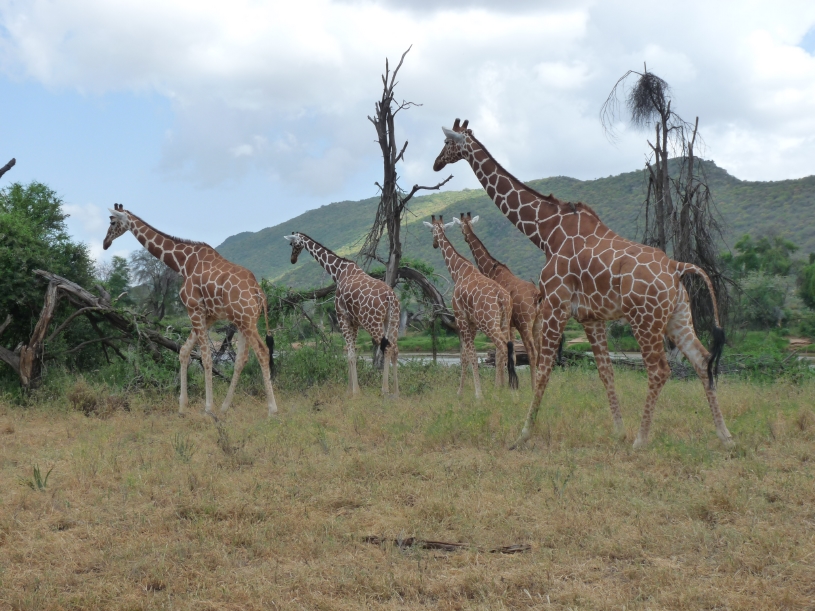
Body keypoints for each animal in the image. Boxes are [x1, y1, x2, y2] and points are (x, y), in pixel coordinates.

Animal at [103, 204, 277, 419]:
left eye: (112, 222)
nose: (105, 243)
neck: (183, 263)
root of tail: (258, 292)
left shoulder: (194, 308)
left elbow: (205, 357)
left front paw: (207, 408)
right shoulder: (208, 315)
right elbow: (185, 351)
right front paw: (182, 407)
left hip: (246, 319)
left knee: (262, 351)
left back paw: (272, 410)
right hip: (243, 320)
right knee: (241, 359)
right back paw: (225, 407)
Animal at [283, 232, 400, 397]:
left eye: (293, 244)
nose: (292, 259)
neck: (338, 272)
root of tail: (390, 297)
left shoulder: (342, 316)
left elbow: (350, 355)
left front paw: (355, 392)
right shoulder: (354, 321)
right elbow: (352, 353)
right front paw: (349, 390)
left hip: (372, 322)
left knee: (387, 347)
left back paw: (384, 390)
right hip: (392, 319)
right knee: (395, 348)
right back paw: (396, 391)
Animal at [424, 215, 518, 398]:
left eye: (431, 230)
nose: (434, 244)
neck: (458, 271)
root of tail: (501, 298)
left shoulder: (460, 317)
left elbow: (470, 355)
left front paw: (477, 394)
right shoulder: (472, 322)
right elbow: (466, 355)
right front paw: (460, 392)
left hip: (489, 323)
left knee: (502, 347)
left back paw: (499, 391)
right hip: (504, 321)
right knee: (509, 350)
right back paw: (510, 388)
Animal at [453, 212, 542, 389]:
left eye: (462, 226)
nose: (465, 237)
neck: (491, 269)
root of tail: (537, 297)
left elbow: (500, 353)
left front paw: (500, 385)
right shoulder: (510, 324)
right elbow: (510, 354)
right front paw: (507, 384)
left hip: (525, 323)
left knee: (532, 351)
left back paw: (533, 386)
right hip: (537, 322)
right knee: (540, 351)